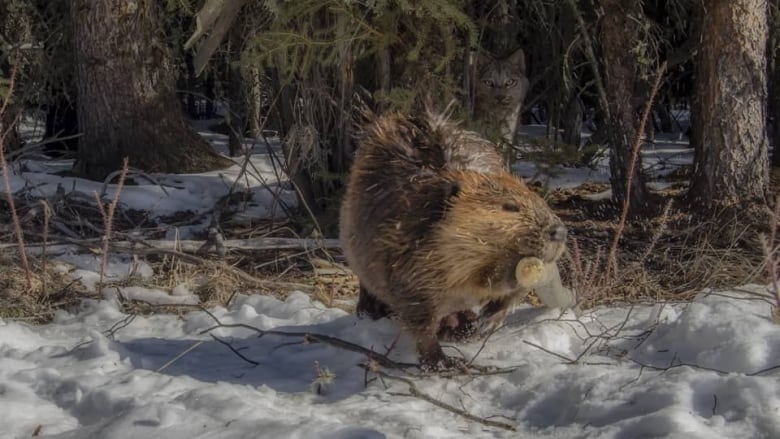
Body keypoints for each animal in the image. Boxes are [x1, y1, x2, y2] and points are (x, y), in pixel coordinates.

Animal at [340, 111, 568, 370]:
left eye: (536, 198)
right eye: (510, 206)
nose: (559, 231)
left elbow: (510, 294)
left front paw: (482, 324)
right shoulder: (407, 260)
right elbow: (419, 316)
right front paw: (442, 362)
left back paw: (463, 323)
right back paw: (371, 312)